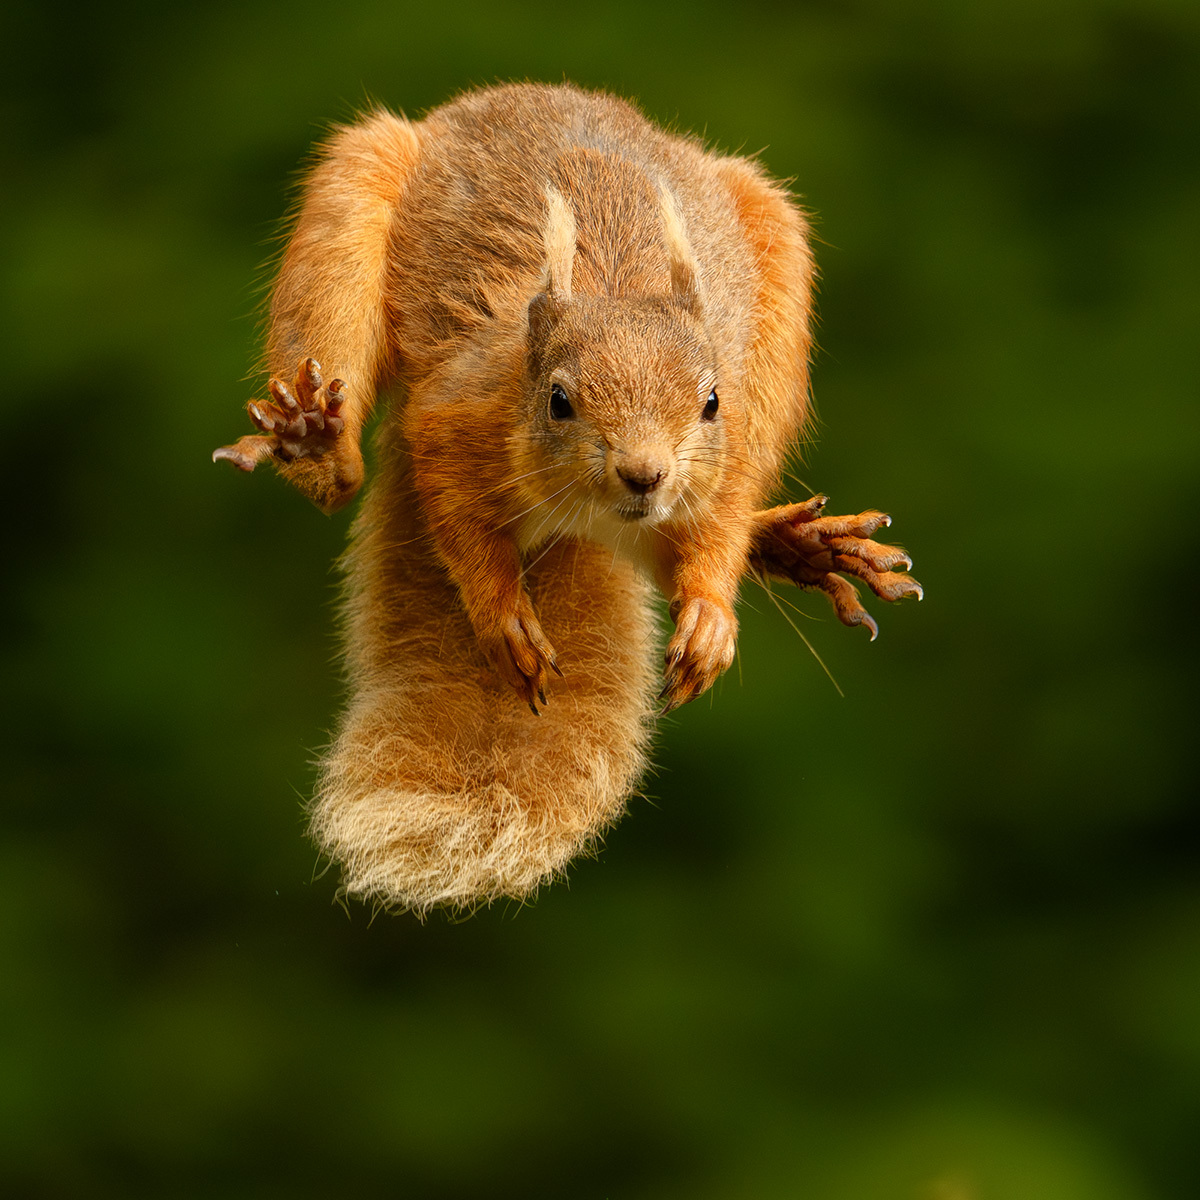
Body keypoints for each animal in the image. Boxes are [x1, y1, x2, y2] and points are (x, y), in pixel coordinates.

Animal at [214, 83, 922, 913]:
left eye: (711, 401)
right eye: (558, 401)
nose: (644, 475)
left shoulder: (733, 447)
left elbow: (716, 529)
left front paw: (710, 616)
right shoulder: (453, 418)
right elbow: (457, 519)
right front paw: (503, 617)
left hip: (779, 252)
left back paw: (796, 545)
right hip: (348, 209)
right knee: (336, 466)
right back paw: (317, 442)